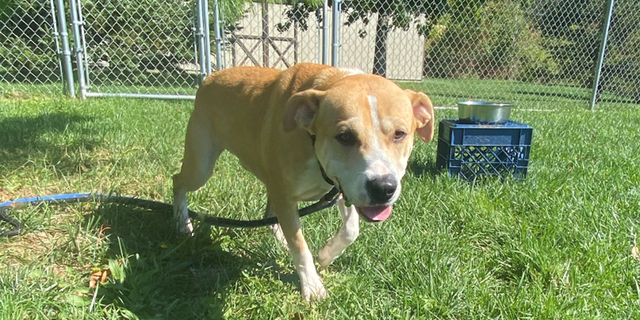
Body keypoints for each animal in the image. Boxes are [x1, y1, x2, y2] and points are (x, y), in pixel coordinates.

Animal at [172, 63, 436, 302]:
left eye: (399, 134)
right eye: (345, 136)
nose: (383, 188)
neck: (311, 137)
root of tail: (210, 77)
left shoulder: (342, 187)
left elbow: (351, 229)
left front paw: (327, 255)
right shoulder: (287, 195)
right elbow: (300, 246)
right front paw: (312, 285)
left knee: (271, 215)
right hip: (201, 165)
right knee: (178, 181)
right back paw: (182, 223)